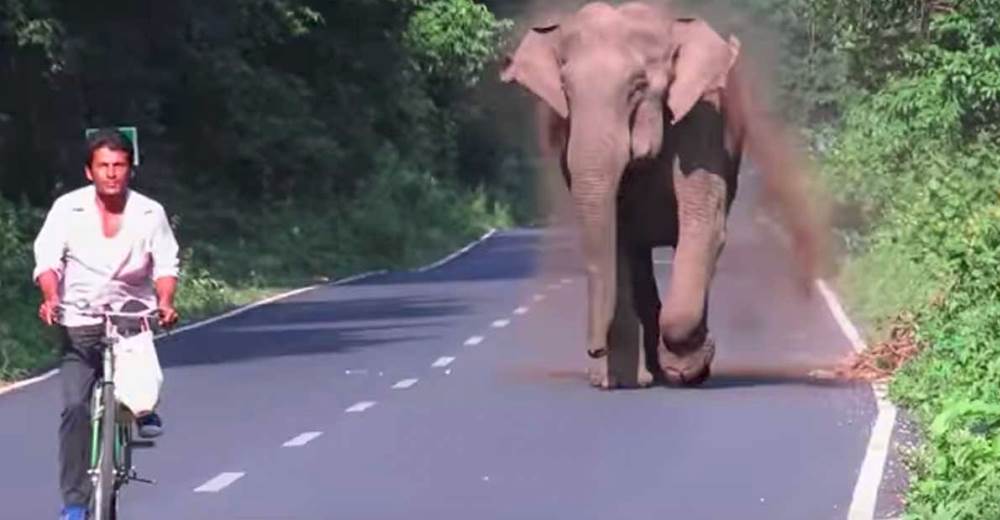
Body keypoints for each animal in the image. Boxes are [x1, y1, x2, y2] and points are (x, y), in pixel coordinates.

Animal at [500, 1, 828, 390]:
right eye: (565, 87)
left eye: (638, 86)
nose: (594, 350)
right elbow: (616, 236)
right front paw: (618, 381)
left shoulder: (703, 122)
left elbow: (702, 226)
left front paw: (689, 368)